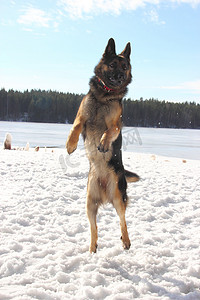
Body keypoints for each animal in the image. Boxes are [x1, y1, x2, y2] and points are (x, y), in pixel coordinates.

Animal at [66, 38, 138, 253]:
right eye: (113, 65)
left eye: (125, 67)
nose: (121, 76)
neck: (104, 95)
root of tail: (105, 194)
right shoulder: (81, 116)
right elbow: (75, 127)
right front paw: (70, 145)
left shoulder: (116, 124)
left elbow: (109, 131)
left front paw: (104, 143)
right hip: (89, 204)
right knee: (94, 228)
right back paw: (92, 248)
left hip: (118, 197)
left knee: (123, 221)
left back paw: (126, 240)